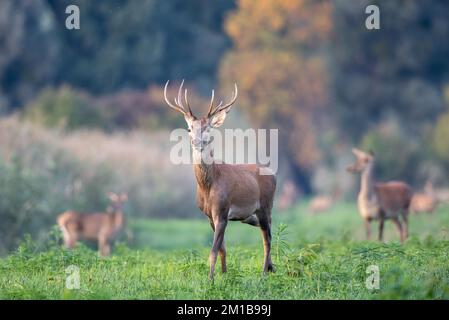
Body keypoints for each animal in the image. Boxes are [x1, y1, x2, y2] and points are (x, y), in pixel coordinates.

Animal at [164, 80, 276, 280]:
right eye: (189, 128)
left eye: (207, 128)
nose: (197, 142)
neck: (208, 186)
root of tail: (274, 174)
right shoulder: (209, 216)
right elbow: (222, 248)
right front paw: (224, 275)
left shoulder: (222, 211)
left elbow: (214, 250)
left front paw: (211, 279)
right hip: (250, 216)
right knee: (270, 231)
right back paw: (272, 268)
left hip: (265, 205)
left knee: (267, 238)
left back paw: (264, 273)